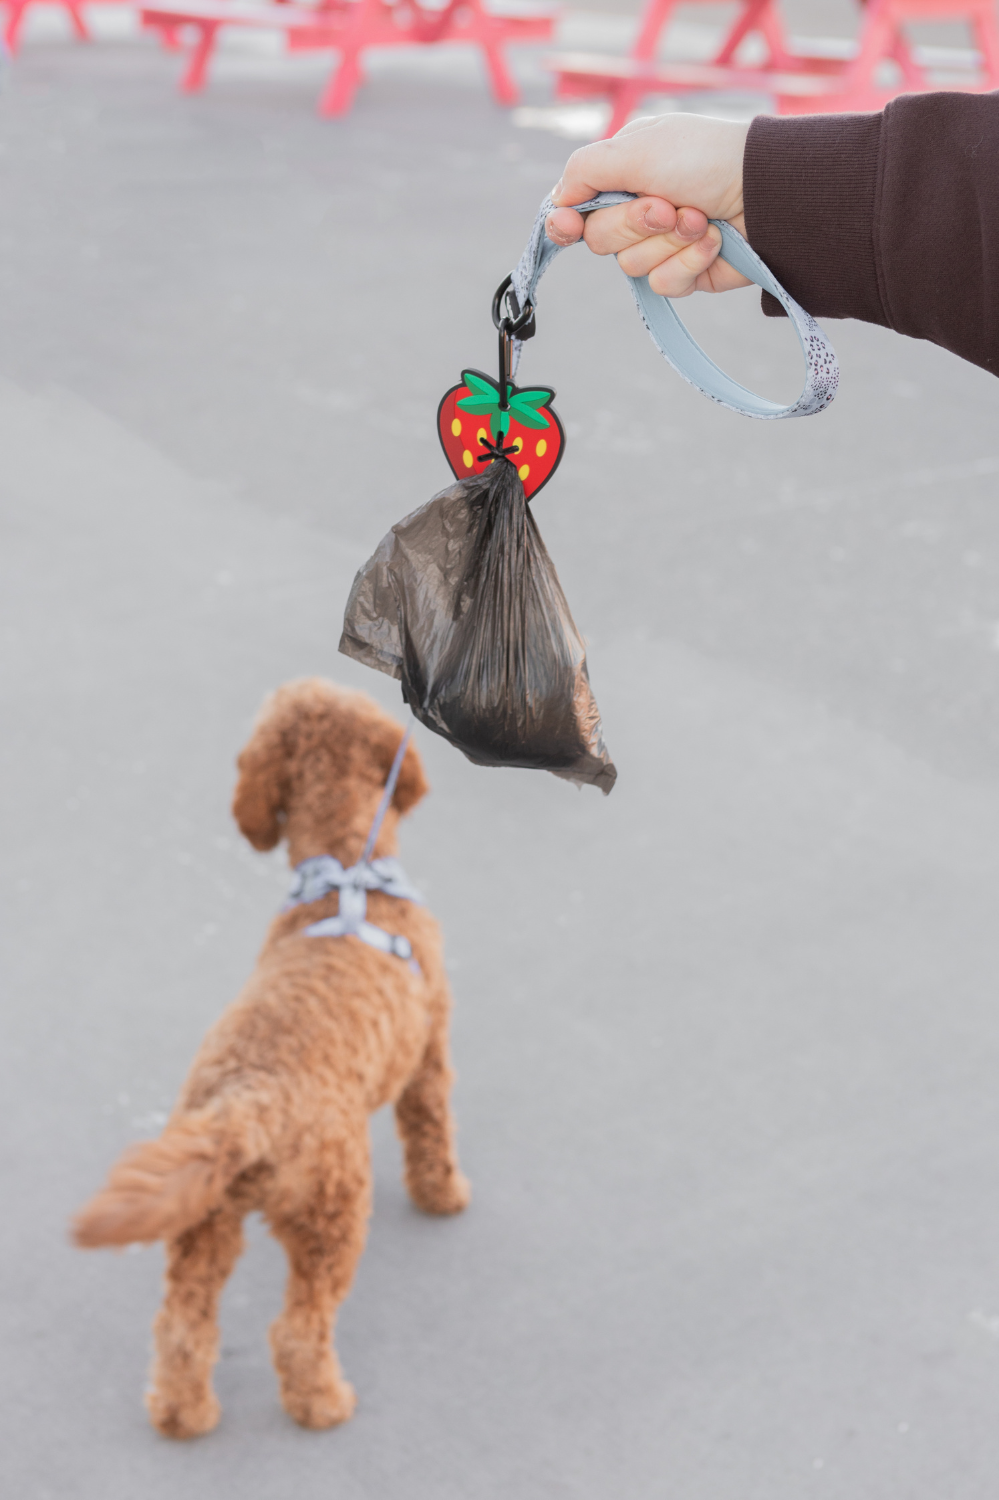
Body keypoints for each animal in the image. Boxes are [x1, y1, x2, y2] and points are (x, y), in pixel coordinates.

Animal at [72, 681, 468, 1440]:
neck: (344, 870)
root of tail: (246, 1109)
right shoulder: (428, 1052)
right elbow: (431, 1130)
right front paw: (445, 1194)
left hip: (204, 1221)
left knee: (183, 1328)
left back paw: (183, 1413)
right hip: (331, 1214)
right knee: (298, 1329)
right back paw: (323, 1403)